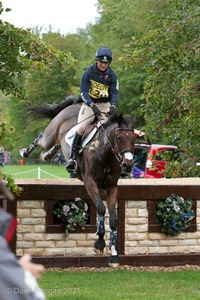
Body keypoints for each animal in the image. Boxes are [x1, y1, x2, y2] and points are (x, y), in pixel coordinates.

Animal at [19, 99, 136, 268]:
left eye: (134, 140)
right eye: (119, 138)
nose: (128, 165)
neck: (105, 154)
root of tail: (75, 104)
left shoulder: (112, 187)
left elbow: (113, 220)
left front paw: (114, 254)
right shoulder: (90, 183)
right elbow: (101, 209)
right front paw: (99, 243)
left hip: (59, 141)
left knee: (57, 145)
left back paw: (47, 155)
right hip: (51, 133)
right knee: (41, 138)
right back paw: (25, 152)